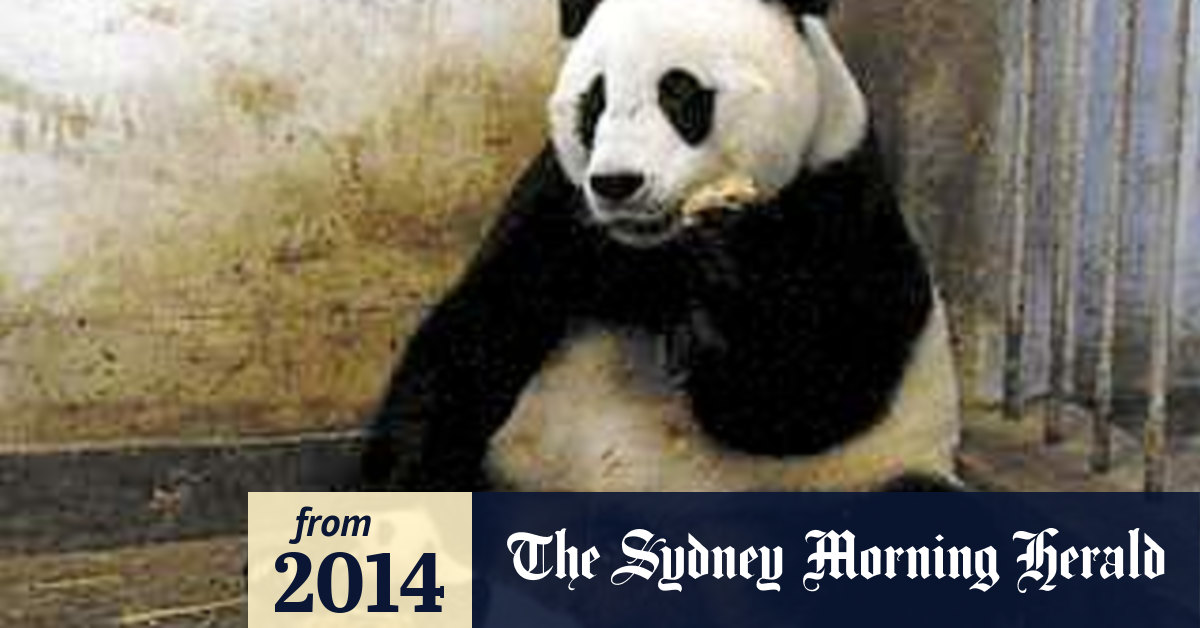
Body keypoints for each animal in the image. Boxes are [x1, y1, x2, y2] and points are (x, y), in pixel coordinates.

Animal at [361, 0, 961, 492]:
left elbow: (801, 394)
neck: (658, 247)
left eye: (679, 93)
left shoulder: (839, 200)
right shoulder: (562, 209)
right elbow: (479, 329)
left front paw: (725, 259)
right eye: (595, 98)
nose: (618, 183)